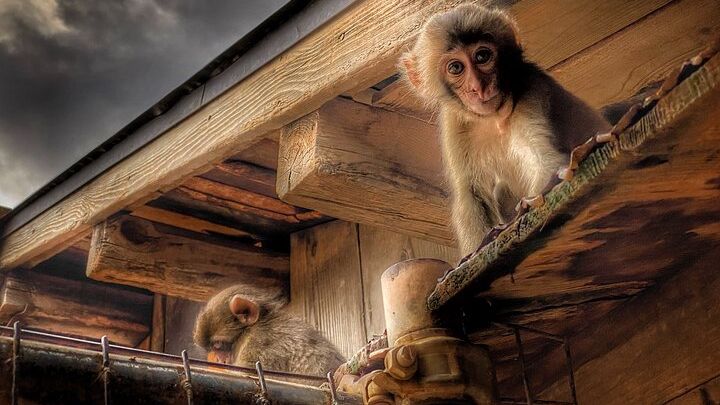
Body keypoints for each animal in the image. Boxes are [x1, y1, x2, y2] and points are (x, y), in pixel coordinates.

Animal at [399, 4, 611, 257]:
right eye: (456, 67)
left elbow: (546, 162)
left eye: (482, 56)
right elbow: (471, 193)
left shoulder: (530, 88)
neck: (492, 118)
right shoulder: (453, 121)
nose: (478, 87)